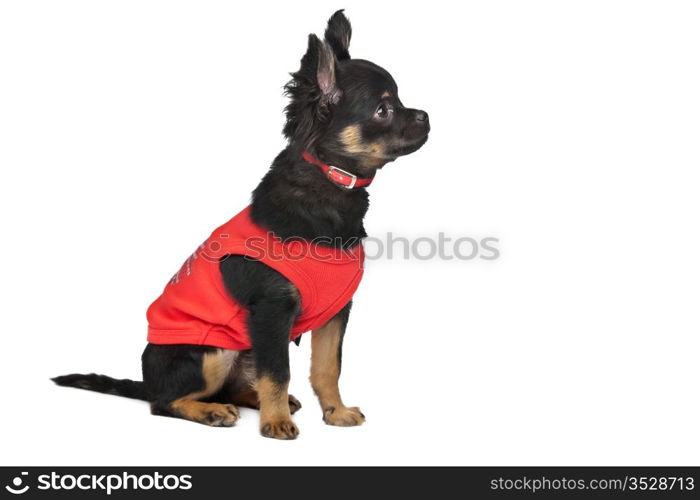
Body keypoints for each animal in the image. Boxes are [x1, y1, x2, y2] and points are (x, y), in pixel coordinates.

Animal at [54, 8, 426, 438]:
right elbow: (278, 372)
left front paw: (335, 412)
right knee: (164, 403)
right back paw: (212, 411)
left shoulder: (336, 314)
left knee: (235, 386)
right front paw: (276, 423)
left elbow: (327, 367)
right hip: (214, 351)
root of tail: (148, 380)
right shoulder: (270, 313)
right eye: (384, 110)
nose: (425, 116)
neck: (330, 186)